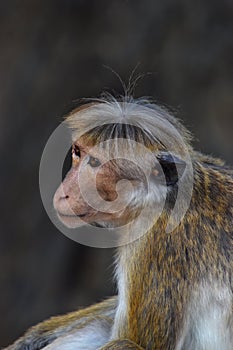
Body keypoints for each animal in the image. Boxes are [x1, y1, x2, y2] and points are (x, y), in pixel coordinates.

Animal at [4, 94, 232, 348]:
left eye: (95, 163)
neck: (158, 196)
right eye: (78, 152)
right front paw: (34, 336)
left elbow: (135, 341)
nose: (64, 194)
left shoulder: (153, 244)